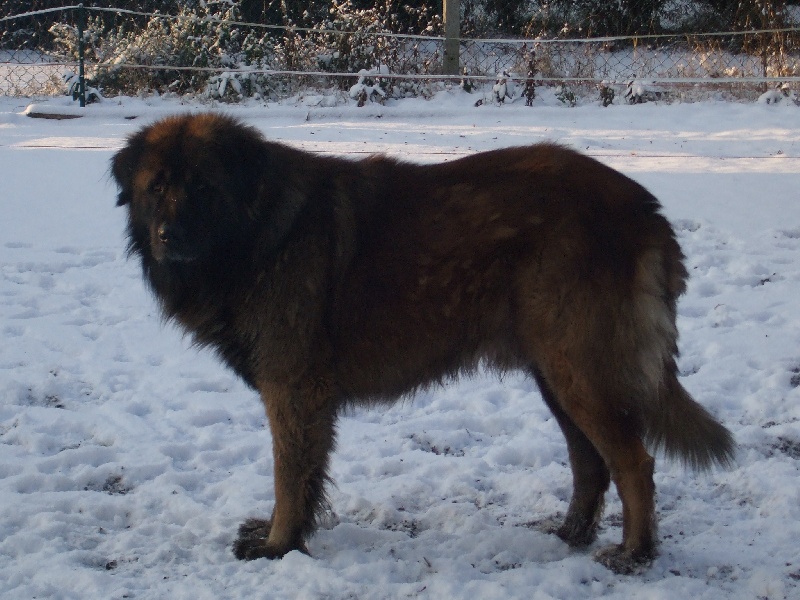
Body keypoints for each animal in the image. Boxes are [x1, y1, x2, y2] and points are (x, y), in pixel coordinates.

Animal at [111, 115, 732, 576]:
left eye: (203, 187)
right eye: (156, 187)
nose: (169, 236)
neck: (259, 228)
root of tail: (644, 206)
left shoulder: (292, 389)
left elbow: (289, 477)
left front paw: (278, 545)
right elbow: (304, 478)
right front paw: (283, 536)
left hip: (578, 369)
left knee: (633, 462)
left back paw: (634, 554)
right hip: (555, 372)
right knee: (590, 461)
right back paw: (570, 534)